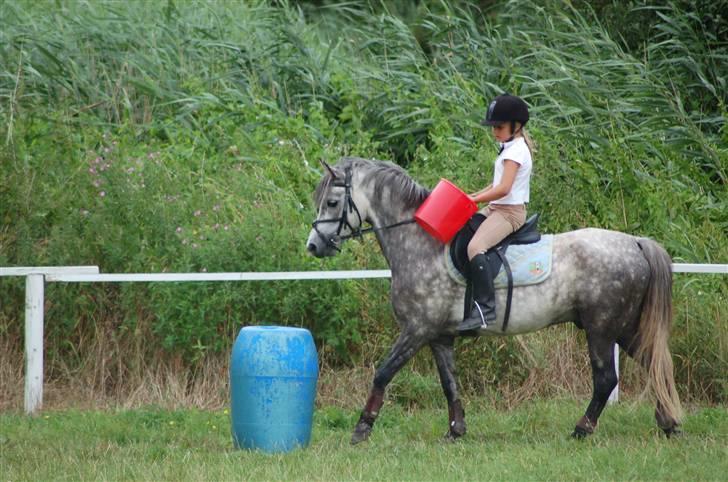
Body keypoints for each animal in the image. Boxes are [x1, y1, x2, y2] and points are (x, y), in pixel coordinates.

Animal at [306, 157, 684, 444]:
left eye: (332, 203)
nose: (313, 246)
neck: (422, 245)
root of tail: (636, 242)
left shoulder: (416, 329)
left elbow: (383, 373)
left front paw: (361, 429)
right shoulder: (439, 336)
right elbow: (449, 384)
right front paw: (456, 431)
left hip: (602, 328)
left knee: (606, 379)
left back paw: (582, 430)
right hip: (624, 326)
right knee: (656, 365)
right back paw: (669, 423)